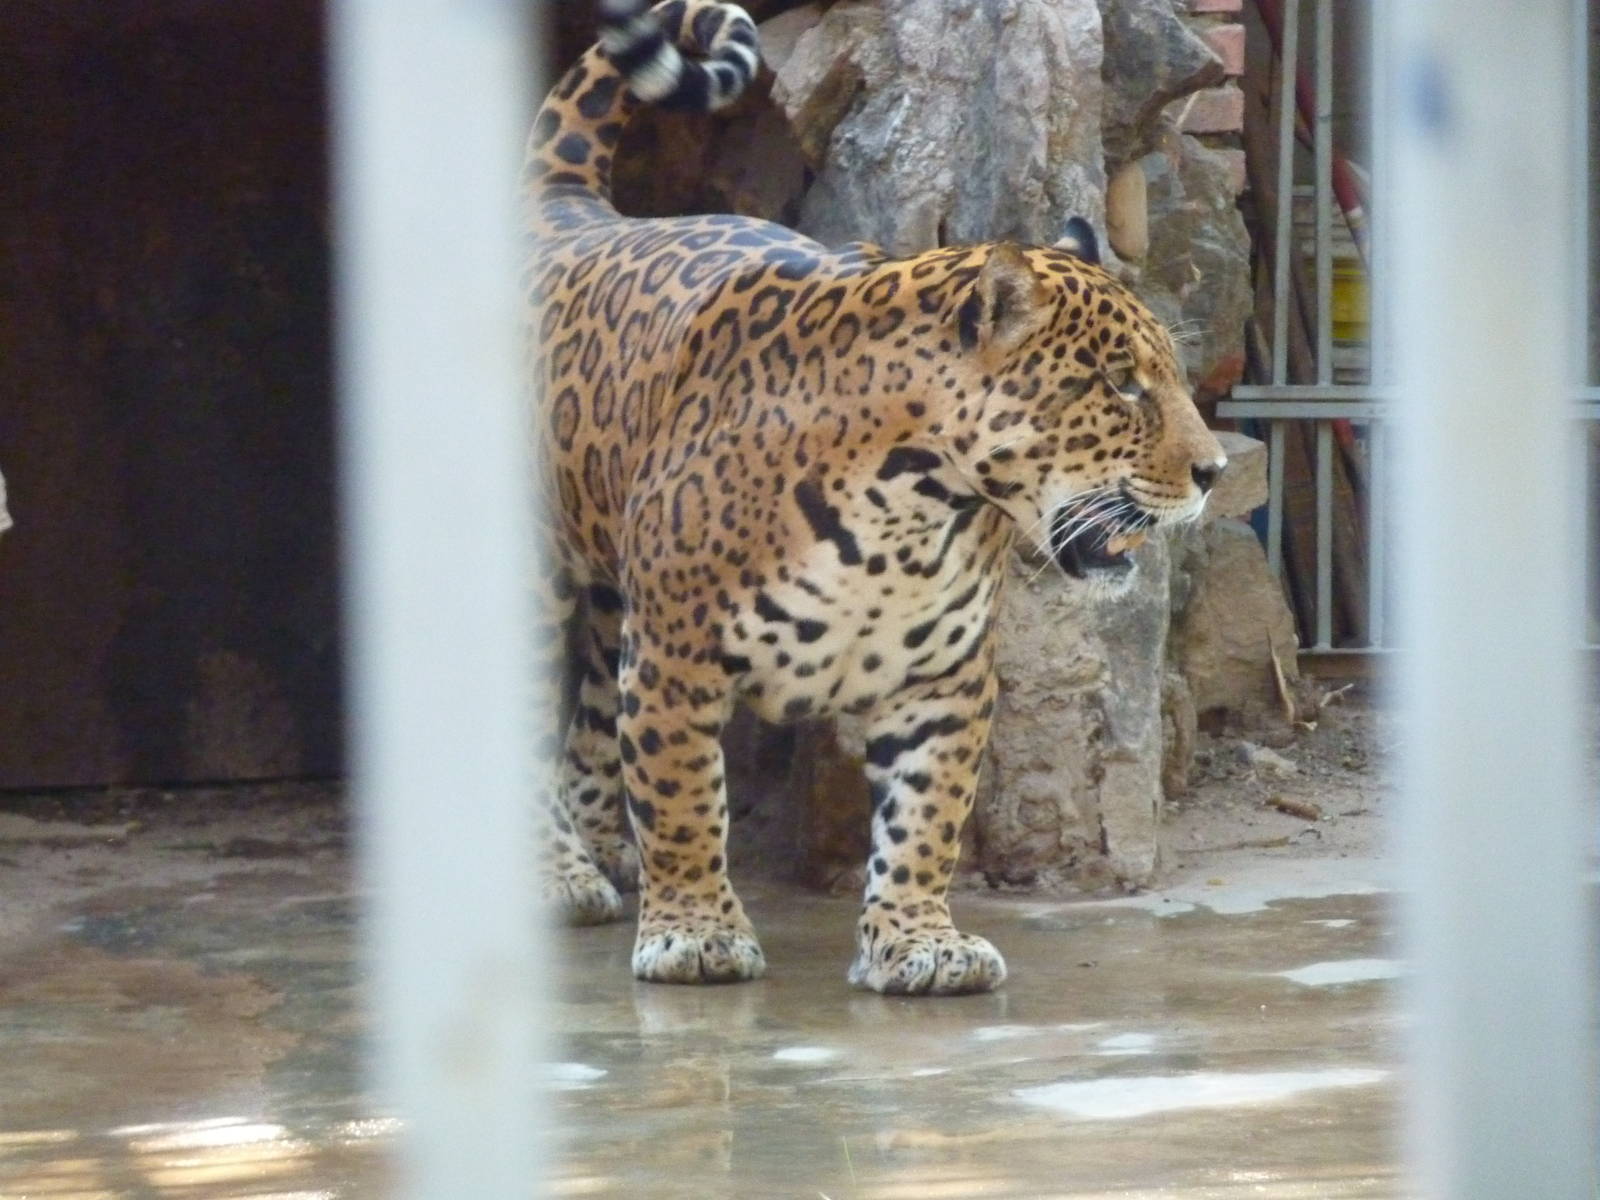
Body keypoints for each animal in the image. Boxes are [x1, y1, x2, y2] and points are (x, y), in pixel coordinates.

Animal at [526, 0, 1228, 995]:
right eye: (1121, 384)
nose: (1215, 471)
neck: (910, 508)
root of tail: (568, 208)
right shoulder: (675, 653)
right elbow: (683, 795)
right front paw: (697, 933)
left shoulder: (945, 677)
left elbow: (927, 817)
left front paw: (918, 940)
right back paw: (557, 873)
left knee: (586, 718)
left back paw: (600, 851)